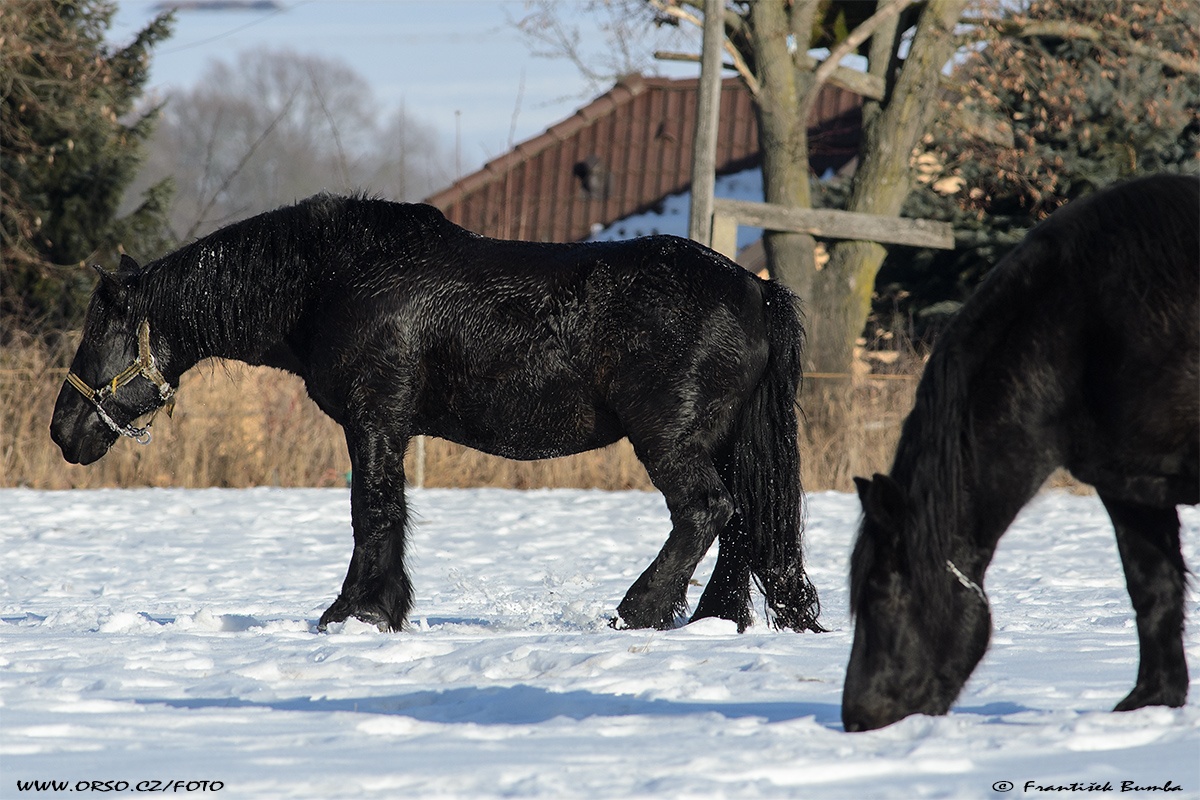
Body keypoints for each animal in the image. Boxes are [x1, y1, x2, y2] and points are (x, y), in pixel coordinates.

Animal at [54, 195, 825, 638]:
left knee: (706, 512)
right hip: (724, 441)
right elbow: (385, 513)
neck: (333, 278)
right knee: (742, 524)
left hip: (672, 440)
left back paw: (637, 612)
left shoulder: (373, 422)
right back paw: (714, 619)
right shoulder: (386, 428)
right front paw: (383, 609)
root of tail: (754, 289)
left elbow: (373, 512)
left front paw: (355, 612)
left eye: (101, 331)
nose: (63, 430)